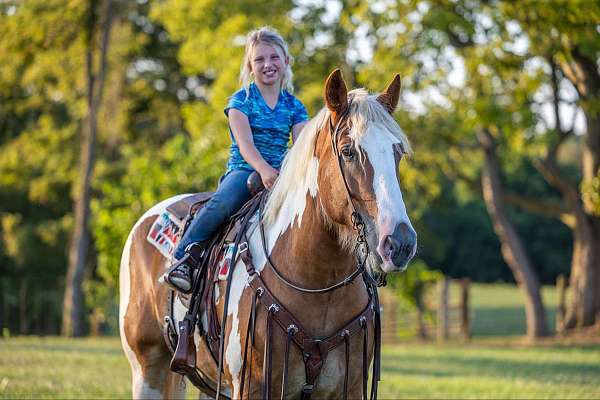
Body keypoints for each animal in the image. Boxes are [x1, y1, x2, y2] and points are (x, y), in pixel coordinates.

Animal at [118, 70, 418, 398]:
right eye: (348, 151)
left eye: (398, 152)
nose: (400, 242)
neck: (318, 286)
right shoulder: (251, 387)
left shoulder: (348, 389)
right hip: (147, 369)